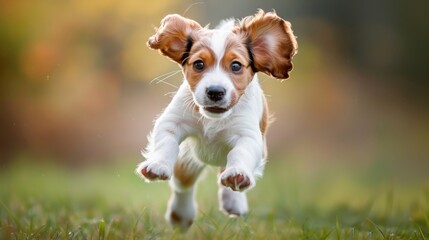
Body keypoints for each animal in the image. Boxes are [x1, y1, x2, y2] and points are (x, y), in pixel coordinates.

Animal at [135, 9, 296, 231]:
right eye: (199, 64)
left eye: (236, 66)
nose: (215, 91)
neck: (214, 118)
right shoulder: (172, 122)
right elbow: (165, 144)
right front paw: (157, 165)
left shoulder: (249, 136)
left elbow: (240, 153)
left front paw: (238, 174)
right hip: (189, 159)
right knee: (183, 183)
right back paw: (181, 215)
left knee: (225, 174)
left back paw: (233, 199)